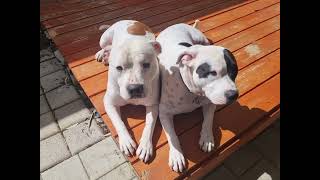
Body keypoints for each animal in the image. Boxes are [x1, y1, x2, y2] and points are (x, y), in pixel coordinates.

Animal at [94, 20, 160, 162]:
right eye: (119, 68)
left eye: (146, 64)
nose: (135, 88)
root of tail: (128, 20)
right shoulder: (109, 103)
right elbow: (118, 122)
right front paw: (126, 141)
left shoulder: (153, 104)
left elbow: (149, 124)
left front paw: (145, 146)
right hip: (104, 39)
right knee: (104, 46)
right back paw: (102, 53)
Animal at [156, 21, 239, 173]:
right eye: (212, 72)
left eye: (235, 71)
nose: (234, 94)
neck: (191, 91)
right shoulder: (164, 112)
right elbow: (171, 135)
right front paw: (176, 155)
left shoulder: (210, 103)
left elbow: (208, 120)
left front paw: (207, 138)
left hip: (201, 39)